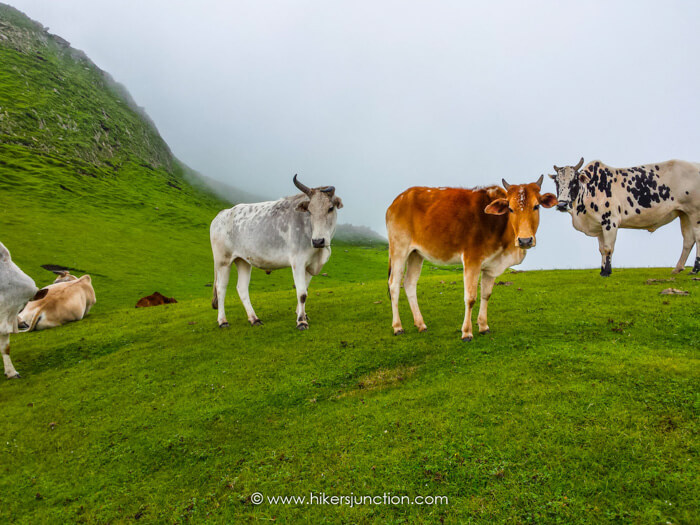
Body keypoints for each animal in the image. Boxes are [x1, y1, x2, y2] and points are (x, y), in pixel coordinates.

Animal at [209, 177, 344, 332]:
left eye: (330, 208)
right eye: (309, 211)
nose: (318, 241)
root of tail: (222, 214)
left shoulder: (310, 265)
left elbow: (305, 289)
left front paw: (302, 314)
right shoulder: (298, 262)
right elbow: (302, 293)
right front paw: (301, 321)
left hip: (243, 261)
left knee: (242, 288)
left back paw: (254, 319)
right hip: (222, 261)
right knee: (221, 288)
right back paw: (222, 321)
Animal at [382, 176, 556, 340]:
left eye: (536, 206)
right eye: (511, 209)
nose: (525, 240)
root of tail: (398, 200)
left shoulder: (490, 266)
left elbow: (486, 295)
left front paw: (484, 326)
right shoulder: (472, 259)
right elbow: (471, 298)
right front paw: (466, 332)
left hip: (416, 254)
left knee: (410, 283)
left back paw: (420, 324)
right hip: (399, 248)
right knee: (394, 285)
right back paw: (398, 327)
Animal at [552, 158, 700, 276]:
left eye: (574, 181)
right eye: (557, 182)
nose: (562, 204)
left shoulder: (610, 222)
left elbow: (608, 248)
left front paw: (607, 272)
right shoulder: (599, 226)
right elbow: (602, 249)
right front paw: (602, 270)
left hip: (695, 212)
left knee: (697, 237)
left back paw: (695, 269)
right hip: (684, 214)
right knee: (688, 240)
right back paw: (678, 268)